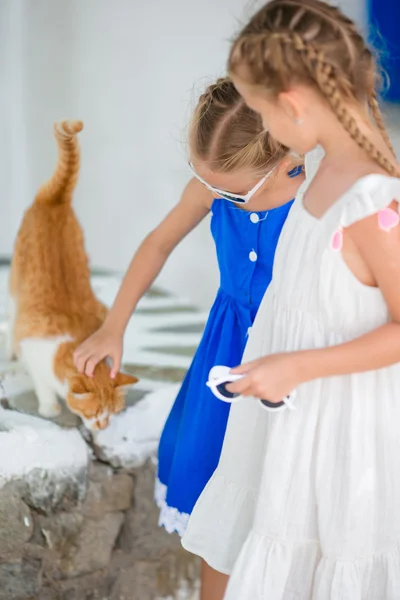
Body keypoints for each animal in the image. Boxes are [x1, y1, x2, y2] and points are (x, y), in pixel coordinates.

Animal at [5, 120, 138, 426]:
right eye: (95, 413)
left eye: (114, 412)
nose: (104, 426)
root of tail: (56, 199)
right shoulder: (33, 350)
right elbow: (42, 385)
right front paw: (49, 406)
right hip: (15, 286)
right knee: (11, 316)